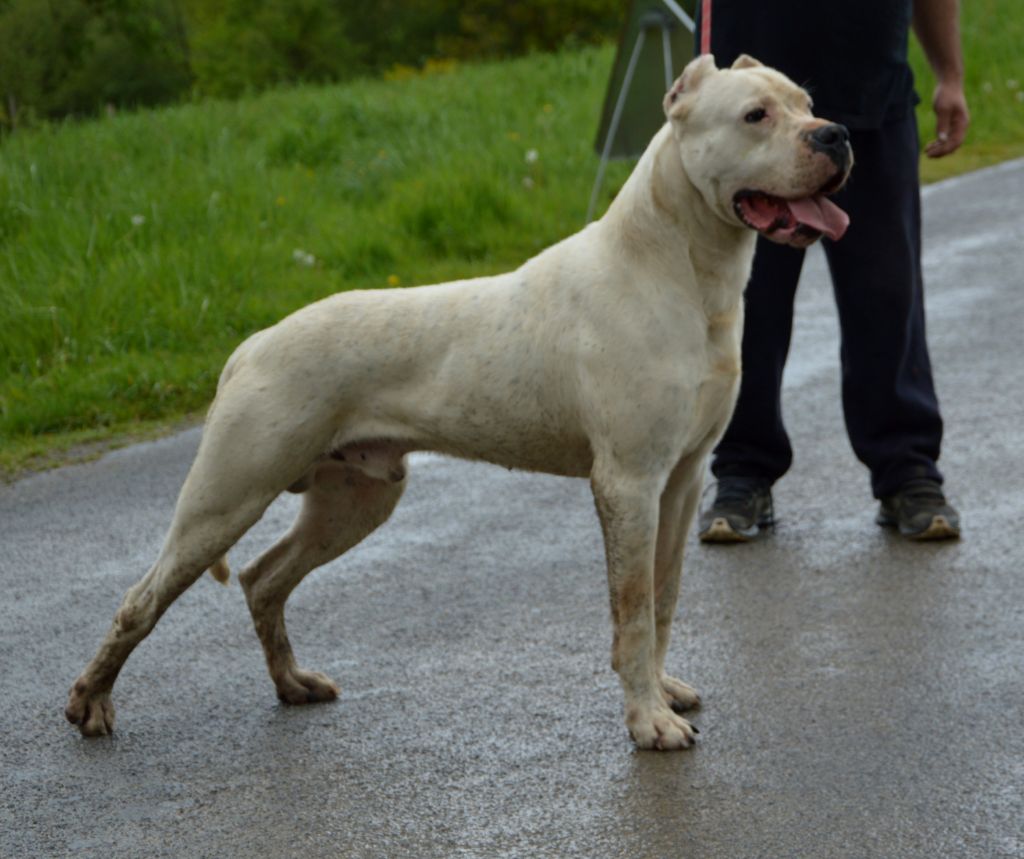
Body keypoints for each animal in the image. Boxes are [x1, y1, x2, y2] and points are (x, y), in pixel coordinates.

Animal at [61, 55, 847, 753]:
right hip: (227, 495)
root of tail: (251, 344)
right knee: (141, 602)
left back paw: (293, 683)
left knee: (264, 579)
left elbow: (663, 596)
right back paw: (90, 702)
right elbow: (630, 609)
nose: (835, 134)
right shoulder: (629, 481)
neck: (682, 267)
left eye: (807, 103)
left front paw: (663, 690)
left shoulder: (679, 481)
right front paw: (648, 722)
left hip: (355, 499)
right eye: (756, 115)